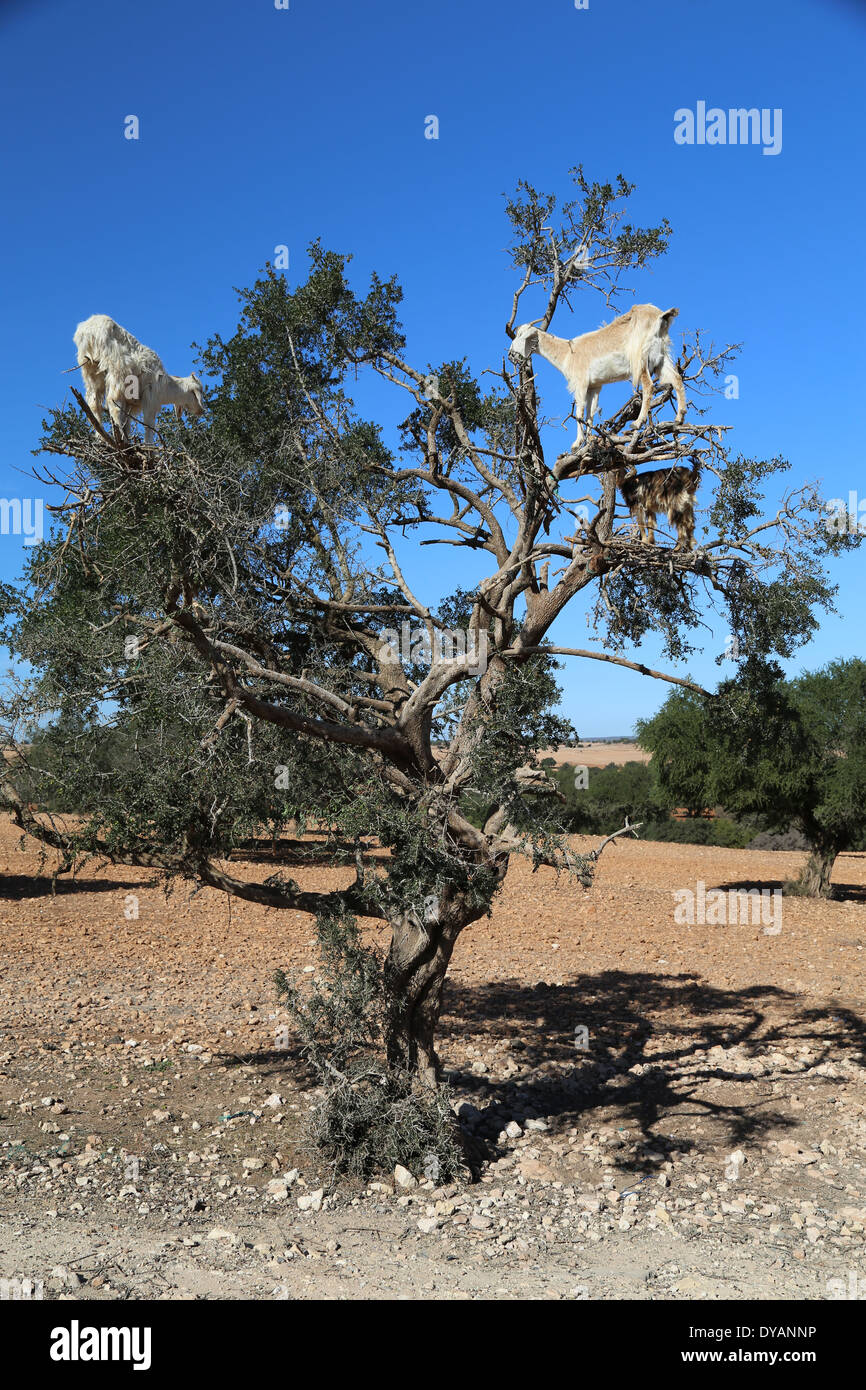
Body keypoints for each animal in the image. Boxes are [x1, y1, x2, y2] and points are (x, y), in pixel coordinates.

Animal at [73, 314, 204, 443]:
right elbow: (149, 425)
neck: (166, 386)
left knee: (93, 404)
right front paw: (150, 447)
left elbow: (127, 422)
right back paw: (119, 438)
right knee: (113, 402)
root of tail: (89, 330)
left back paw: (102, 437)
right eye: (197, 393)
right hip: (118, 368)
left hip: (90, 369)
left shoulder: (130, 404)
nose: (201, 411)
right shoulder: (150, 397)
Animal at [509, 304, 686, 447]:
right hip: (661, 359)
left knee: (649, 386)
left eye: (520, 335)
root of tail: (660, 316)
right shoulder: (594, 386)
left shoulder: (580, 384)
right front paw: (589, 440)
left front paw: (577, 443)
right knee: (677, 379)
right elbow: (590, 413)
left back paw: (637, 422)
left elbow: (579, 411)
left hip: (640, 359)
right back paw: (680, 417)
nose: (510, 354)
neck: (568, 352)